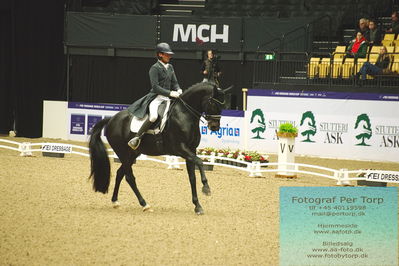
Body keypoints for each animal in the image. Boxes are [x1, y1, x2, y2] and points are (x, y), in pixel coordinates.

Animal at [90, 82, 228, 215]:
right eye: (213, 102)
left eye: (223, 105)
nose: (214, 127)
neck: (184, 114)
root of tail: (111, 119)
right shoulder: (181, 149)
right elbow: (200, 162)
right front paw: (206, 188)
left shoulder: (191, 150)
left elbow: (192, 178)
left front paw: (197, 206)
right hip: (123, 153)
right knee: (129, 177)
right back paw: (145, 205)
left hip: (132, 154)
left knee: (120, 174)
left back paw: (115, 202)